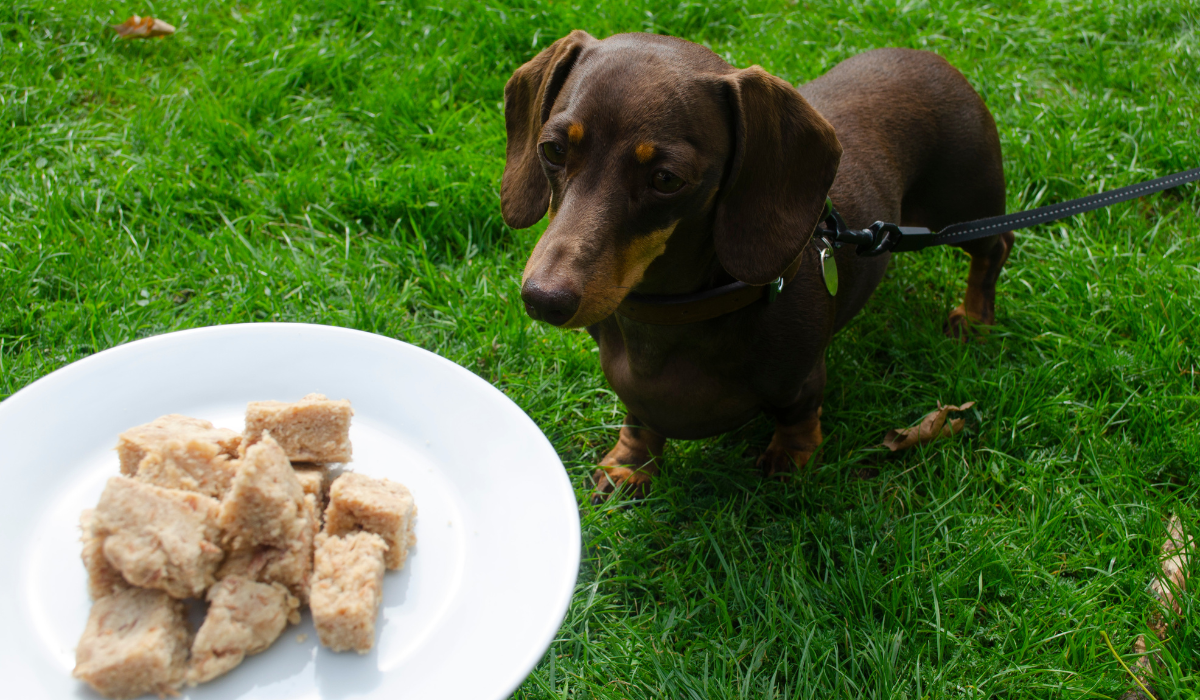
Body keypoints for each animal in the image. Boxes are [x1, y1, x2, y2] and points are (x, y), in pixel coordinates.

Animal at [496, 31, 1012, 499]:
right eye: (553, 149)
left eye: (666, 179)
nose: (543, 300)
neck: (673, 314)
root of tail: (933, 57)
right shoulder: (635, 391)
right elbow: (640, 421)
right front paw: (629, 466)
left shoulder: (802, 380)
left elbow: (799, 415)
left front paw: (791, 457)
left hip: (965, 208)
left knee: (996, 246)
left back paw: (974, 319)